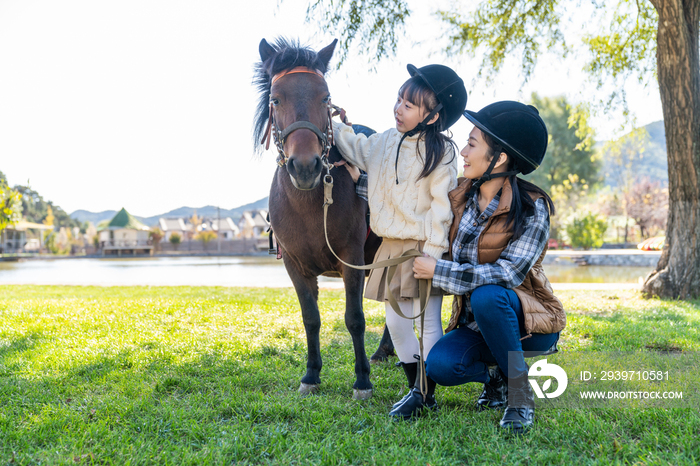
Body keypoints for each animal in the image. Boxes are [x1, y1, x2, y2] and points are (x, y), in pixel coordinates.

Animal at [253, 38, 394, 398]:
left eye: (325, 97)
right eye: (276, 98)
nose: (305, 166)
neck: (310, 206)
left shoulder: (351, 259)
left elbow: (355, 318)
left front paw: (362, 380)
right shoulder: (295, 265)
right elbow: (311, 319)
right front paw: (311, 374)